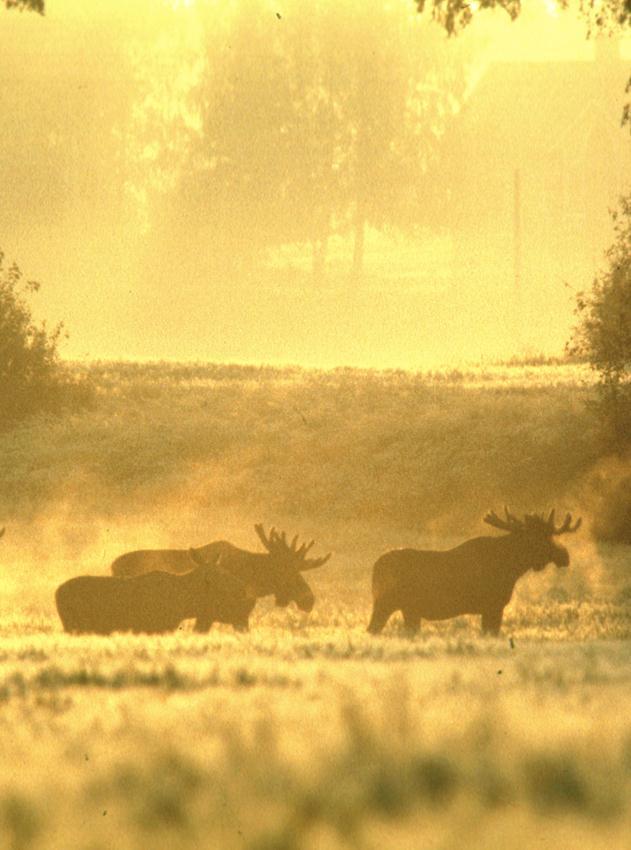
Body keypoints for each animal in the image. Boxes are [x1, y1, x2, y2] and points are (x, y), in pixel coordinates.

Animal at [370, 504, 584, 636]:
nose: (564, 556)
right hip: (388, 603)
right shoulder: (493, 606)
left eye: (551, 535)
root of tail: (375, 566)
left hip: (408, 609)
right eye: (537, 538)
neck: (512, 569)